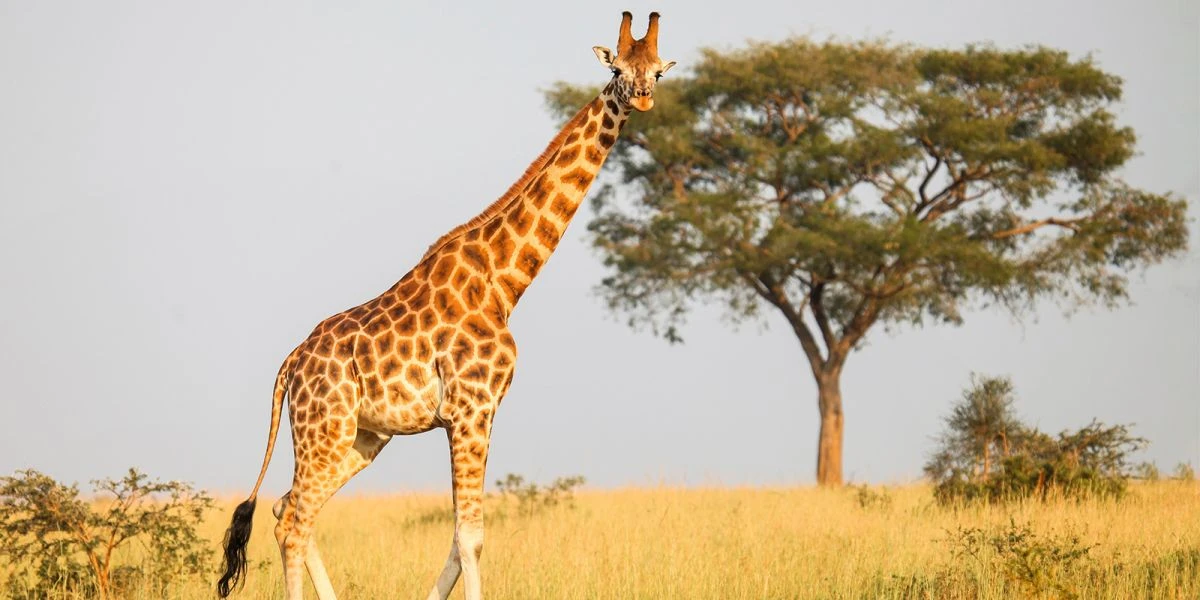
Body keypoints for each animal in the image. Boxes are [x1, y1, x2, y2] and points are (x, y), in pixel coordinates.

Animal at [216, 11, 674, 600]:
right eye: (617, 68)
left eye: (656, 71)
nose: (641, 96)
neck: (505, 283)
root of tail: (290, 366)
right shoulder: (470, 408)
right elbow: (471, 538)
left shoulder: (481, 412)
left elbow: (460, 541)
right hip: (326, 430)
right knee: (293, 519)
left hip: (362, 438)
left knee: (285, 509)